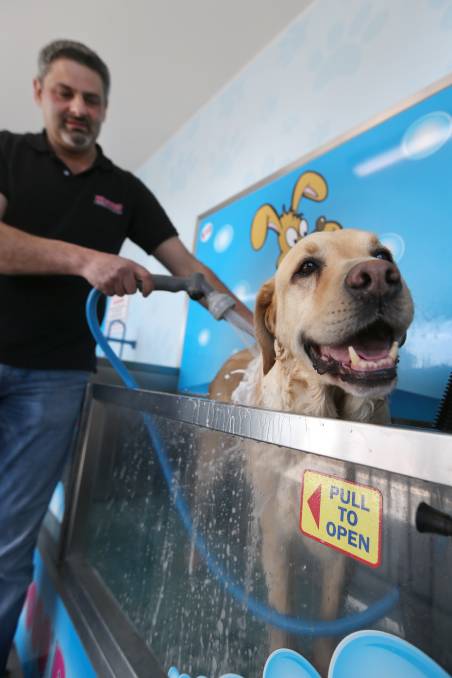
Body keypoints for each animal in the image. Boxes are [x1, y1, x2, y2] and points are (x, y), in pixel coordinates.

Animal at [208, 228, 414, 676]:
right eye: (307, 267)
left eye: (382, 255)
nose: (378, 277)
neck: (325, 417)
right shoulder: (274, 536)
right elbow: (282, 616)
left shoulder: (341, 553)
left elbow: (327, 619)